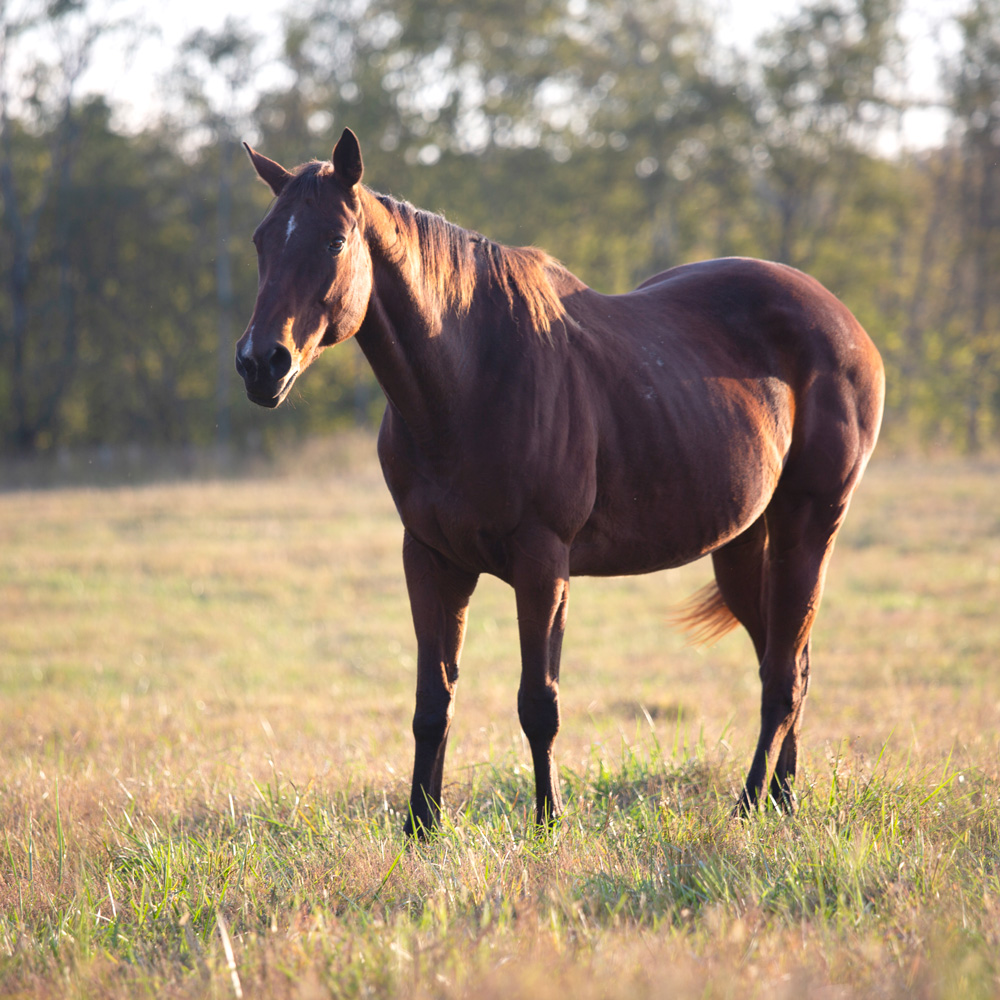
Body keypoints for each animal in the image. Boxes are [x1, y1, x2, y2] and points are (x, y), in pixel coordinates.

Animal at [234, 129, 884, 832]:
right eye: (262, 241)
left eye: (334, 240)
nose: (260, 363)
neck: (469, 382)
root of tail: (846, 325)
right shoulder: (430, 558)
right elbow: (433, 701)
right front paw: (420, 830)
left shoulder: (543, 560)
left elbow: (537, 703)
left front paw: (548, 824)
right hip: (742, 547)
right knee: (789, 662)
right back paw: (782, 802)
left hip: (808, 528)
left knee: (782, 678)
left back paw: (747, 806)